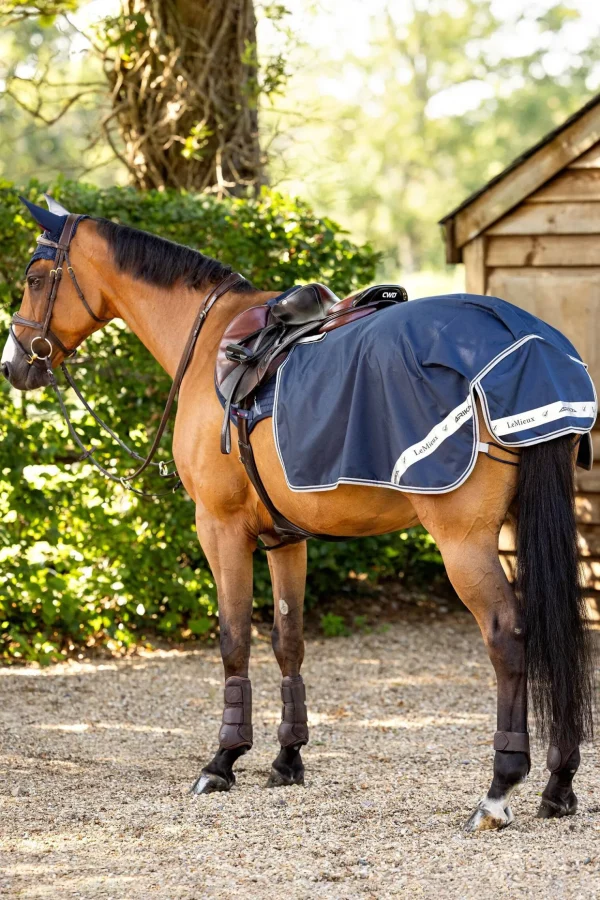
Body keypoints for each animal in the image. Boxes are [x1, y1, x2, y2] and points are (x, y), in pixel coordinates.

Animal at [2, 202, 592, 828]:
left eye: (34, 279)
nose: (14, 366)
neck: (208, 339)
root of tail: (529, 344)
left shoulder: (219, 528)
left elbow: (234, 638)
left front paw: (223, 760)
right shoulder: (286, 540)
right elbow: (289, 639)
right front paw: (287, 759)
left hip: (464, 542)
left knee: (508, 637)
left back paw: (500, 788)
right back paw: (559, 783)